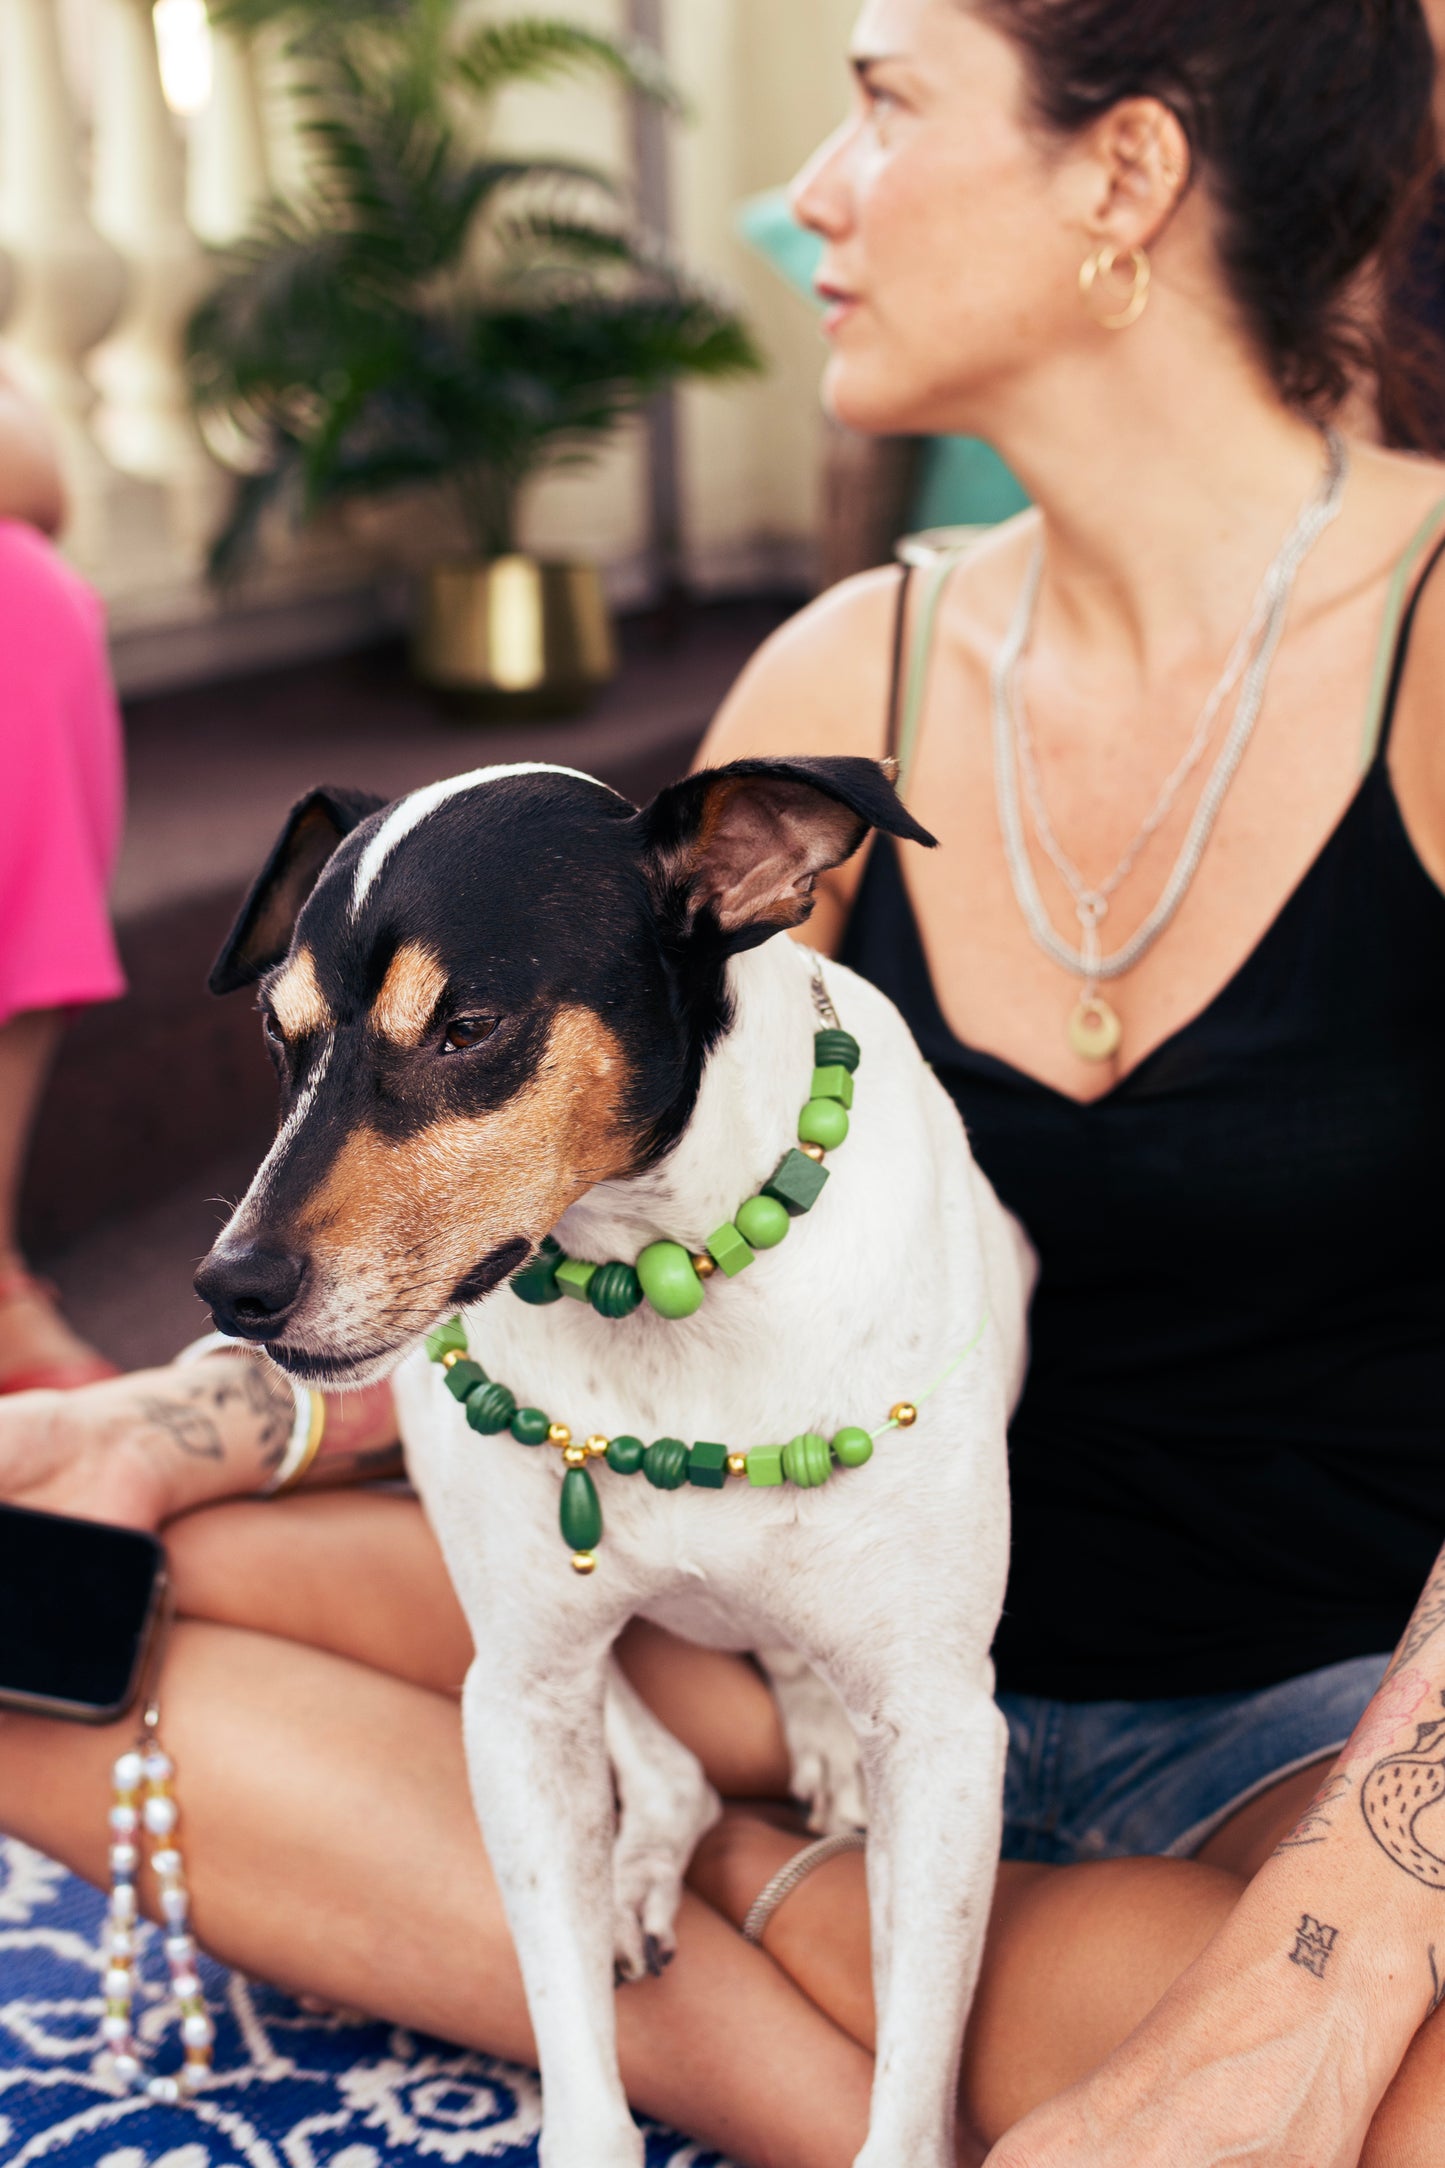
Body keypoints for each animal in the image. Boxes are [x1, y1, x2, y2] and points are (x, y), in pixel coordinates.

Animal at [194, 758, 1026, 2168]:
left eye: (467, 1026)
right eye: (275, 1031)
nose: (231, 1287)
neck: (654, 1275)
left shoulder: (943, 1727)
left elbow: (909, 2092)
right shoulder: (522, 1704)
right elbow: (580, 2075)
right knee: (661, 1757)